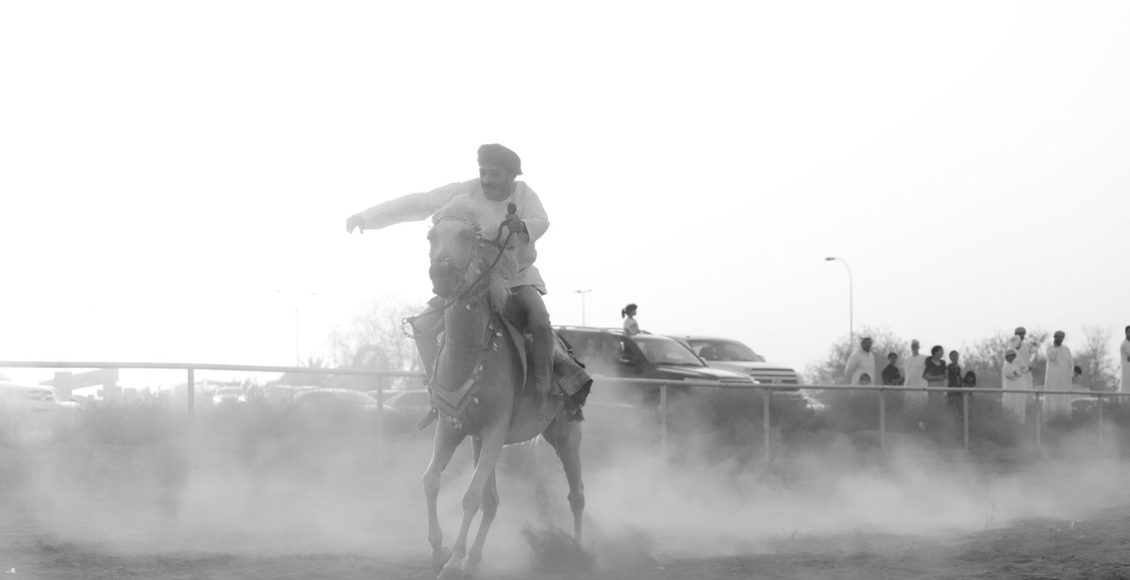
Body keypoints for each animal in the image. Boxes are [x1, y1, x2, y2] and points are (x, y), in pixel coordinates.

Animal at [420, 200, 585, 579]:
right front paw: (440, 550)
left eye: (467, 235)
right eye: (432, 236)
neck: (469, 357)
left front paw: (452, 563)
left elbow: (470, 496)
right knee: (493, 502)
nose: (442, 274)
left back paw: (578, 552)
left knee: (576, 495)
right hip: (481, 441)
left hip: (566, 435)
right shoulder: (452, 428)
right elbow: (432, 481)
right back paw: (474, 558)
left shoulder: (495, 430)